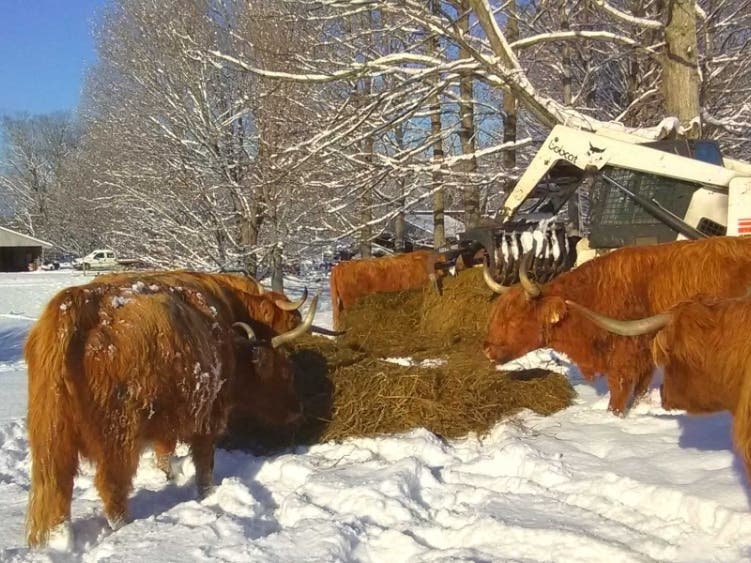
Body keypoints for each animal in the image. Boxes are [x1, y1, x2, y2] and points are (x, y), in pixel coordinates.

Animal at [24, 281, 318, 547]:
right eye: (286, 373)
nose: (299, 409)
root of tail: (74, 304)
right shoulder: (206, 419)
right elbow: (204, 466)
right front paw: (207, 496)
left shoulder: (166, 424)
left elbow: (165, 455)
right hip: (118, 436)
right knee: (112, 486)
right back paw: (125, 528)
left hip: (53, 439)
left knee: (57, 488)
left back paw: (59, 541)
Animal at [482, 236, 751, 416]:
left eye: (513, 319)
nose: (486, 350)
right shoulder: (644, 356)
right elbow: (640, 389)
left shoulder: (624, 356)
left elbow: (618, 392)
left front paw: (614, 415)